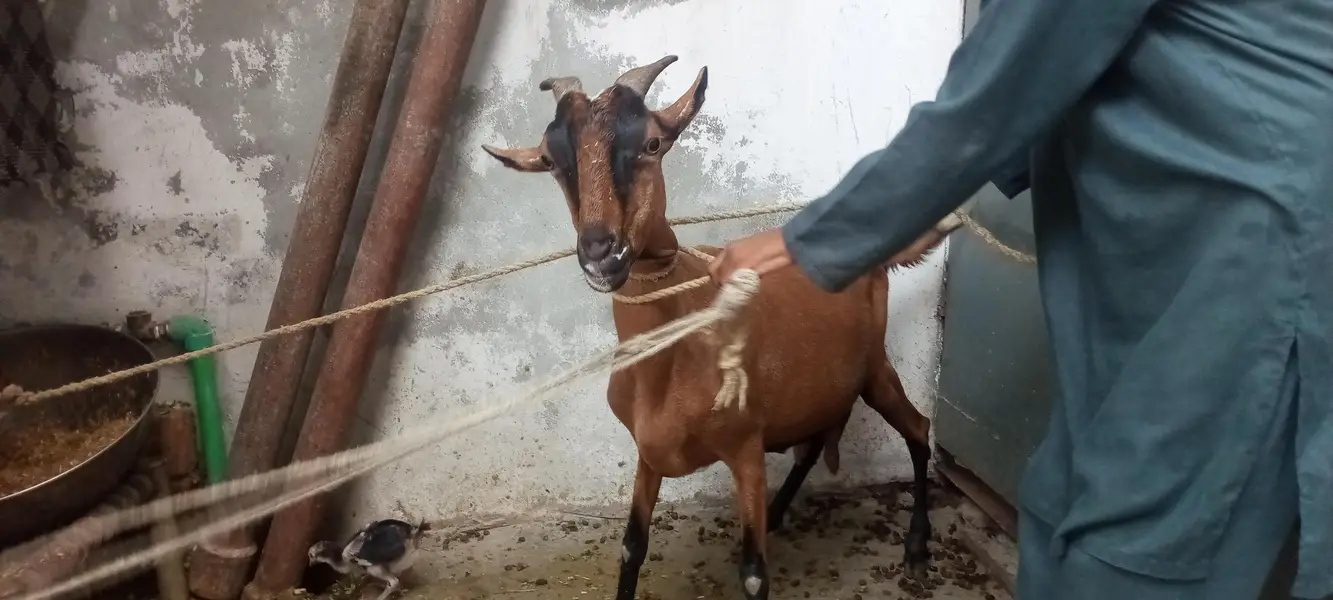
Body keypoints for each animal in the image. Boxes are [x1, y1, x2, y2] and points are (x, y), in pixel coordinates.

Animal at [483, 55, 950, 600]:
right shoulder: (648, 454)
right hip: (820, 389)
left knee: (917, 430)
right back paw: (780, 514)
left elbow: (753, 574)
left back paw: (916, 549)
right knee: (813, 446)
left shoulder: (745, 445)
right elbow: (631, 547)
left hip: (874, 368)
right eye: (552, 161)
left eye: (653, 143)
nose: (602, 253)